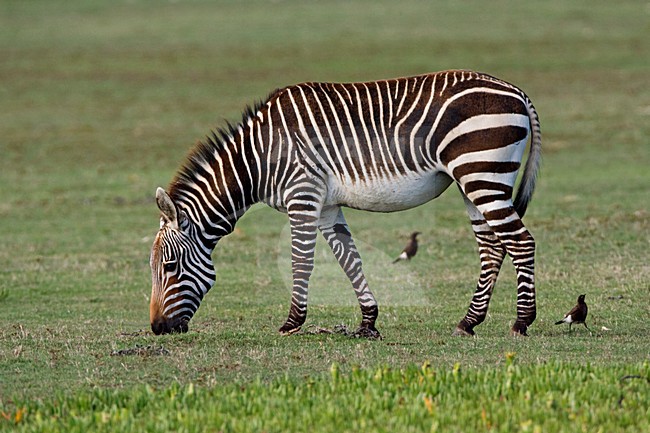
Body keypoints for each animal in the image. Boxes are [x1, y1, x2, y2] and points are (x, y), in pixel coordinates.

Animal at [149, 70, 541, 338]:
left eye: (169, 267)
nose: (157, 328)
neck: (258, 159)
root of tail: (517, 91)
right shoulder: (326, 206)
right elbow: (349, 260)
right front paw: (368, 321)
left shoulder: (302, 195)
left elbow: (302, 262)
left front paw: (292, 323)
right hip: (474, 181)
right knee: (492, 247)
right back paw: (469, 321)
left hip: (481, 173)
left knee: (520, 242)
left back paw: (522, 321)